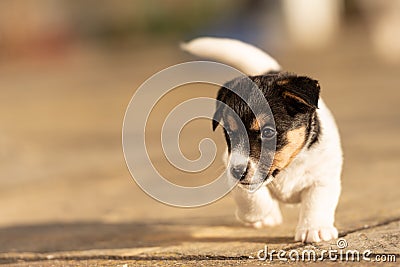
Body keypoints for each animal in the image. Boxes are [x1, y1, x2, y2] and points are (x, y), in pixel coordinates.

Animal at [183, 36, 342, 244]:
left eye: (267, 132)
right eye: (229, 133)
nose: (238, 171)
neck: (288, 167)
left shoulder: (324, 177)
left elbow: (316, 202)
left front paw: (314, 229)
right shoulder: (232, 166)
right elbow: (253, 199)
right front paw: (258, 215)